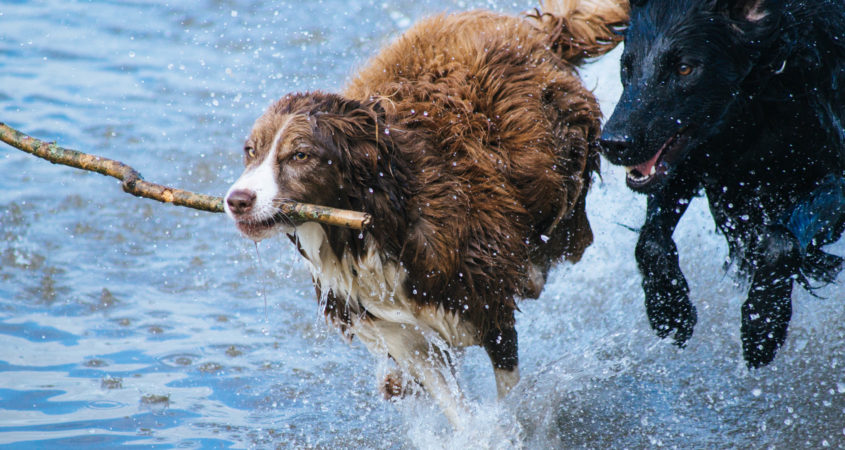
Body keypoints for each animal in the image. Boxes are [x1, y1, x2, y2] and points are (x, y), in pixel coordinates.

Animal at [226, 0, 628, 424]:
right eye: (251, 151)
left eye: (300, 155)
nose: (237, 200)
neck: (373, 223)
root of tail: (537, 31)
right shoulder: (399, 329)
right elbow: (452, 403)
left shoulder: (487, 303)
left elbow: (508, 390)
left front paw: (511, 424)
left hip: (563, 176)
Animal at [604, 0, 840, 368]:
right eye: (626, 66)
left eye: (685, 68)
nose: (612, 143)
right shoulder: (692, 161)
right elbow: (650, 242)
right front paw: (670, 311)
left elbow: (780, 240)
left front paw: (763, 324)